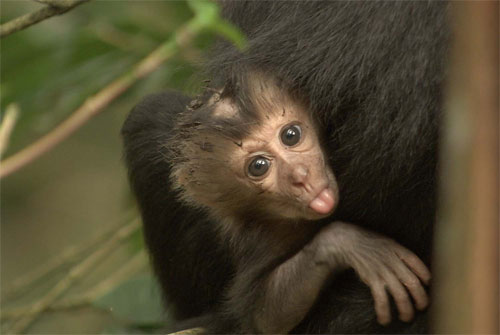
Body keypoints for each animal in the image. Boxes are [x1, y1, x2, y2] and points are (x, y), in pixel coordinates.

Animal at [168, 75, 430, 334]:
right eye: (258, 166)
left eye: (291, 135)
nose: (300, 176)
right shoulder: (263, 235)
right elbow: (265, 317)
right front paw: (352, 244)